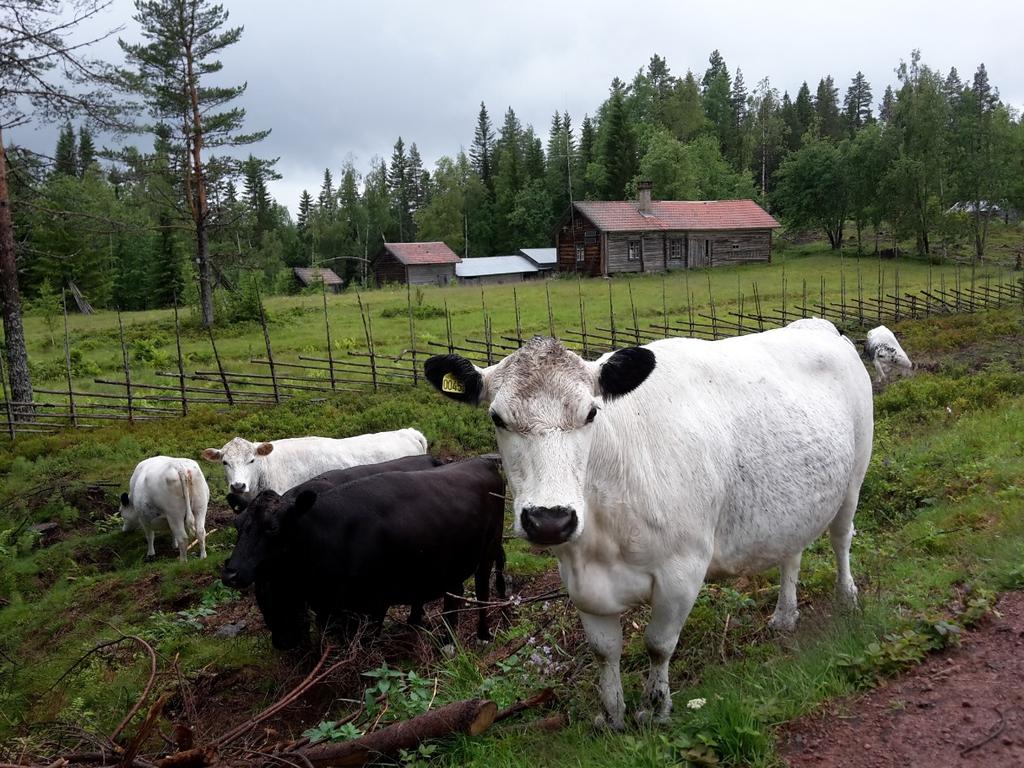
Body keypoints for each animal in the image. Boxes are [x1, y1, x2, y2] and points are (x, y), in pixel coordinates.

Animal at [222, 456, 505, 651]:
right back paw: (440, 637)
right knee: (452, 594)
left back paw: (483, 635)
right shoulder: (332, 606)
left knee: (483, 590)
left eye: (272, 528)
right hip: (449, 559)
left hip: (488, 550)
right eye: (237, 525)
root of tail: (481, 461)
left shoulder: (374, 603)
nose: (231, 573)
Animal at [423, 319, 872, 733]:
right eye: (497, 418)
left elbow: (658, 645)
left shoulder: (683, 570)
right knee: (791, 553)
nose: (550, 520)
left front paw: (656, 709)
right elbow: (604, 651)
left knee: (840, 538)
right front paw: (613, 715)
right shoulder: (580, 580)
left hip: (855, 475)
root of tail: (818, 325)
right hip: (793, 503)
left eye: (591, 413)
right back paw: (785, 616)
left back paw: (847, 597)